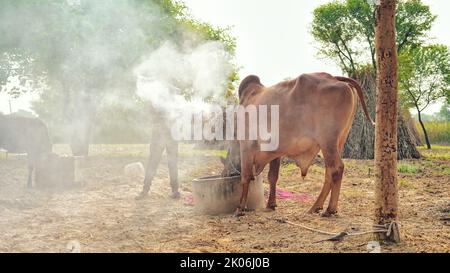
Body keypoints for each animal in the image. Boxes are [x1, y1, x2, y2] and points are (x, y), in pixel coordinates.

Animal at [236, 73, 372, 217]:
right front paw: (271, 204)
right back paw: (316, 207)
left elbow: (245, 176)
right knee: (329, 172)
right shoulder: (275, 152)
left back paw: (330, 209)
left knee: (336, 169)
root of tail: (333, 77)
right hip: (338, 142)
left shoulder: (246, 146)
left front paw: (240, 208)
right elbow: (272, 176)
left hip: (327, 141)